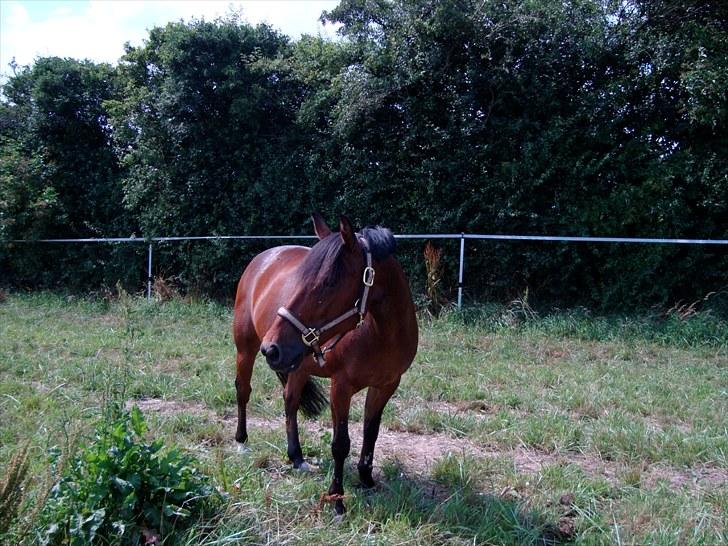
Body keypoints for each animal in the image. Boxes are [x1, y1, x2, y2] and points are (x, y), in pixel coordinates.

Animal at [232, 213, 418, 515]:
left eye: (329, 282)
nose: (271, 348)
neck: (380, 334)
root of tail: (262, 259)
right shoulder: (340, 387)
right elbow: (340, 444)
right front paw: (337, 500)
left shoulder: (386, 385)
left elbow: (371, 432)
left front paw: (366, 479)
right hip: (245, 349)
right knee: (243, 391)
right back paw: (242, 442)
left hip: (298, 365)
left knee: (290, 401)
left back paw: (297, 457)